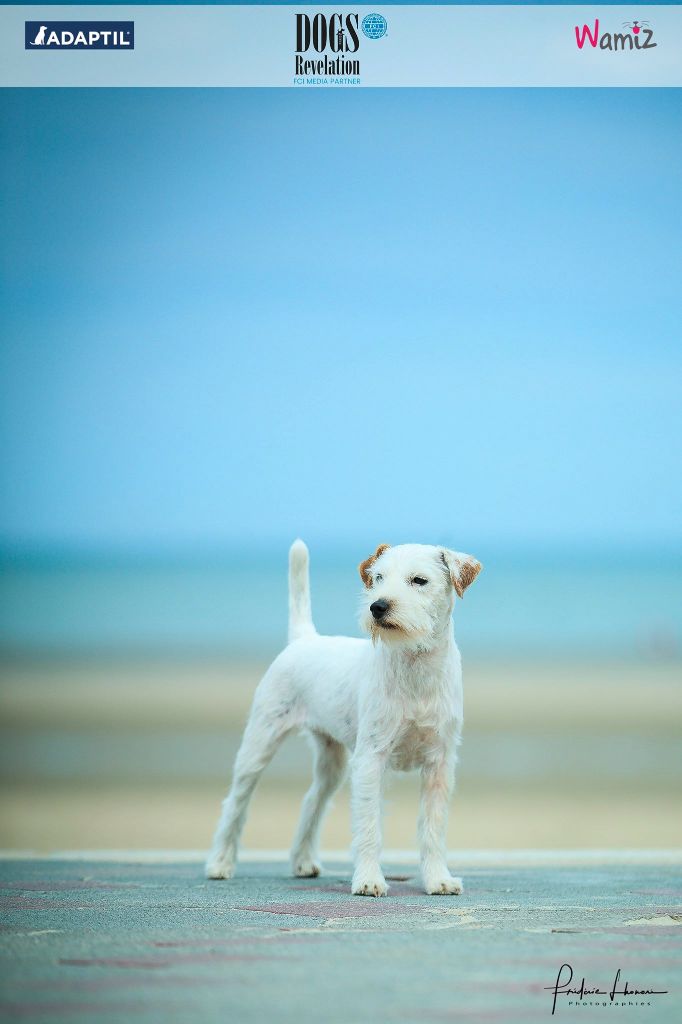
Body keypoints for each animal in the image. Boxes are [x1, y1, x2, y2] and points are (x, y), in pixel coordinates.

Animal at [205, 540, 477, 892]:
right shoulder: (370, 760)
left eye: (419, 580)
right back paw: (220, 863)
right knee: (236, 803)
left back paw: (303, 861)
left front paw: (438, 879)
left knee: (312, 801)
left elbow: (433, 827)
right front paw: (369, 880)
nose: (378, 606)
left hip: (331, 761)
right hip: (259, 743)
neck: (415, 666)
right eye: (377, 578)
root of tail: (304, 639)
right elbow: (369, 826)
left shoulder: (439, 764)